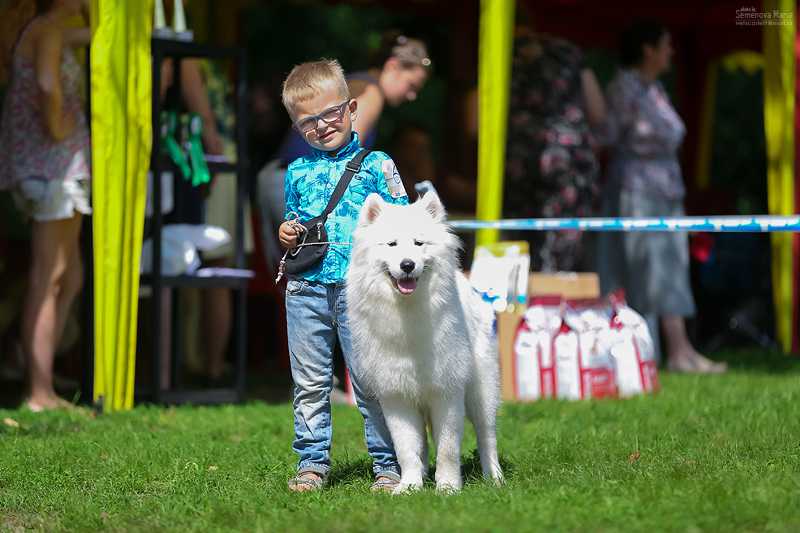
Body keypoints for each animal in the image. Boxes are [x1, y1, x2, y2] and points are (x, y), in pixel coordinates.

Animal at [346, 191, 504, 494]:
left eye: (419, 243)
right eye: (392, 244)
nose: (407, 264)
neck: (407, 314)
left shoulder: (447, 392)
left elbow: (448, 448)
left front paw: (448, 487)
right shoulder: (396, 397)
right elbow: (407, 449)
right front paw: (409, 486)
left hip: (481, 390)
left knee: (487, 436)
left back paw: (495, 478)